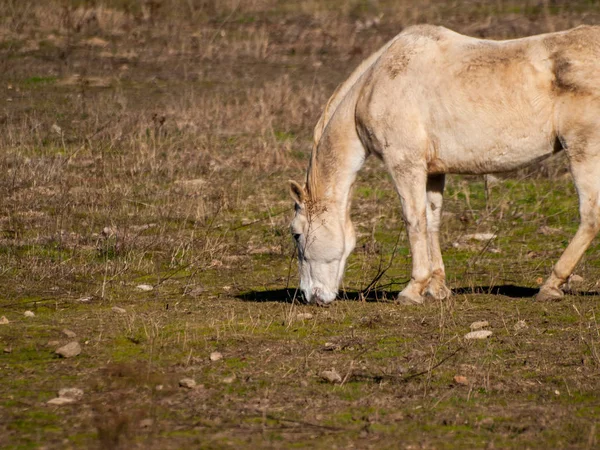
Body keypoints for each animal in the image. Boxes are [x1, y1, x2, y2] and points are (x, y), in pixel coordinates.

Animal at [288, 24, 600, 306]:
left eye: (296, 233)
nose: (309, 296)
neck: (375, 84)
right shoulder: (433, 171)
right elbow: (432, 221)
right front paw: (436, 288)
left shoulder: (406, 165)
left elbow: (414, 220)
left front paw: (413, 289)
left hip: (583, 152)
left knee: (590, 216)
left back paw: (551, 285)